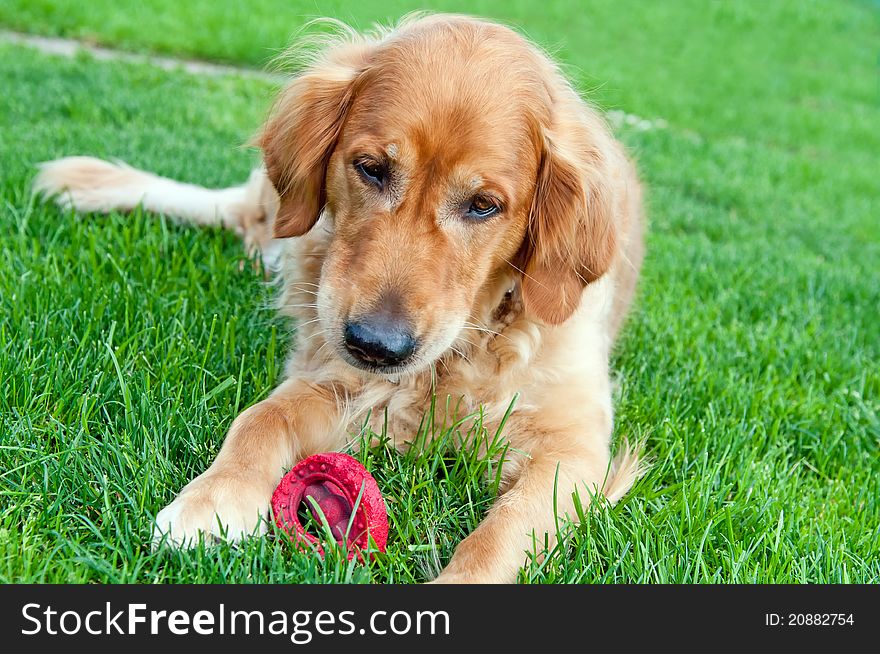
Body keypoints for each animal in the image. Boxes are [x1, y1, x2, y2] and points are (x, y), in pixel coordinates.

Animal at [36, 12, 648, 584]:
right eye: (372, 169)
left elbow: (504, 529)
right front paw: (212, 500)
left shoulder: (572, 445)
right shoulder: (341, 382)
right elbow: (260, 417)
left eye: (484, 206)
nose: (376, 346)